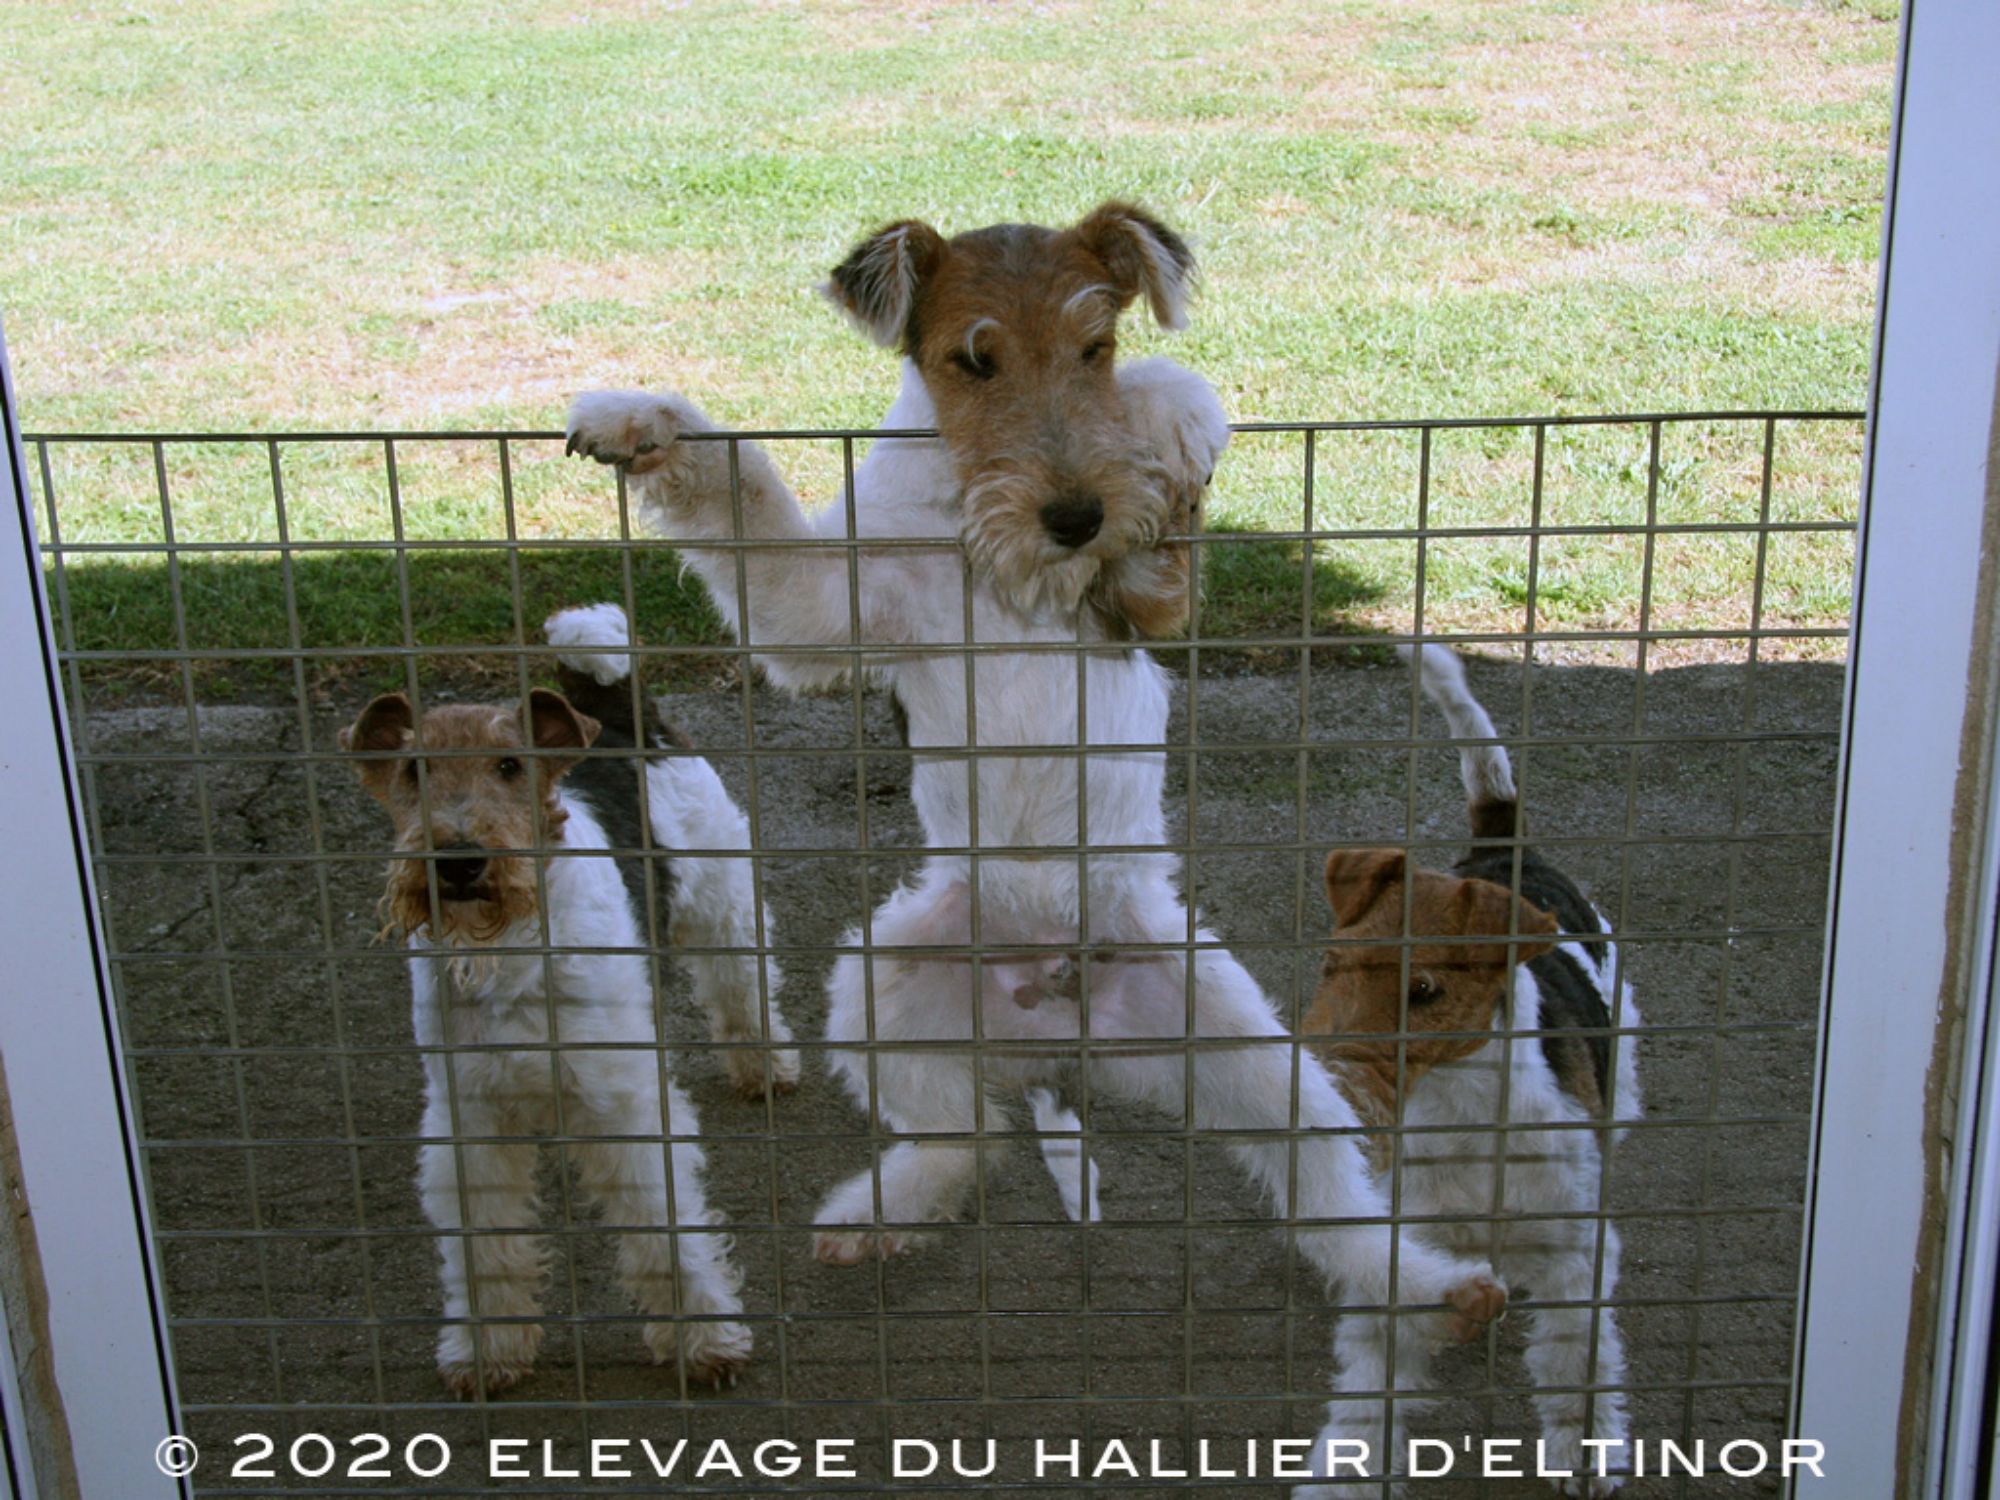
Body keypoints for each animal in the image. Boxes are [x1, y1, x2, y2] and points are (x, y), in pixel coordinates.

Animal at [339, 604, 796, 1396]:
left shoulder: (623, 1107)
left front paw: (707, 1341)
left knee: (742, 985)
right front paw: (486, 1353)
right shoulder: (471, 1124)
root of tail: (616, 714)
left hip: (722, 902)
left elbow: (664, 1227)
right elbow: (485, 1250)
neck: (507, 952)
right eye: (413, 769)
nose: (459, 863)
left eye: (509, 765)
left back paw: (766, 1068)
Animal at [563, 202, 1503, 1361]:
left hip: (1252, 1051)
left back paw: (1433, 1290)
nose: (1074, 518)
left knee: (1325, 1196)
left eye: (1094, 346)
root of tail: (1055, 1033)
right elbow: (741, 489)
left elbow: (1175, 411)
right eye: (974, 360)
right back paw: (874, 1218)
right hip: (880, 983)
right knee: (967, 1138)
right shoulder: (821, 607)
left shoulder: (1148, 606)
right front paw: (641, 423)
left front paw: (1168, 421)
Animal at [1298, 644, 1642, 1497]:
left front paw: (1587, 1450)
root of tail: (1500, 850)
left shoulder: (1574, 1249)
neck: (1458, 1107)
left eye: (1424, 991)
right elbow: (1371, 1381)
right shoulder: (1407, 1250)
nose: (1323, 1083)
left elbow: (1576, 1357)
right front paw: (1346, 1471)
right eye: (1333, 965)